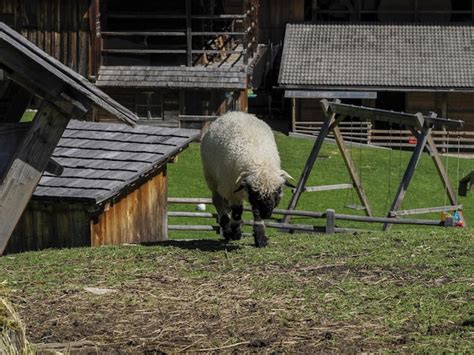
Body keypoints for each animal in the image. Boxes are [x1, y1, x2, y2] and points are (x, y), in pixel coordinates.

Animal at [200, 111, 292, 248]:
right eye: (256, 193)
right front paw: (235, 233)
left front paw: (260, 238)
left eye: (277, 191)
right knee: (218, 202)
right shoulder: (233, 190)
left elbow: (256, 215)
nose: (267, 214)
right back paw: (227, 229)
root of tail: (233, 113)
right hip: (212, 178)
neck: (260, 163)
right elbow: (237, 212)